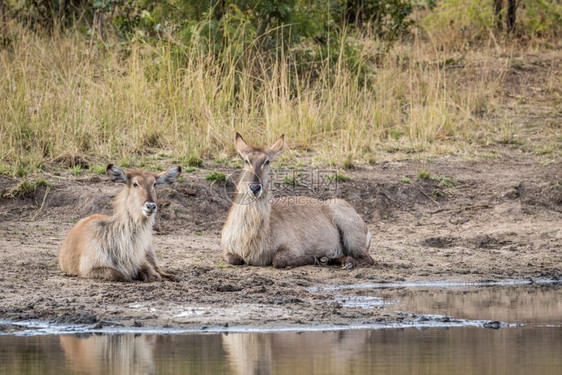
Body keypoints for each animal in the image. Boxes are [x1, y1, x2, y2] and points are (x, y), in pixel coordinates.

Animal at [221, 134, 374, 268]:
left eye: (267, 161)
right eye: (246, 160)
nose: (255, 187)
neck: (250, 236)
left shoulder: (293, 247)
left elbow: (278, 260)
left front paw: (314, 258)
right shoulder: (227, 249)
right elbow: (233, 259)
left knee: (367, 258)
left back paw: (342, 262)